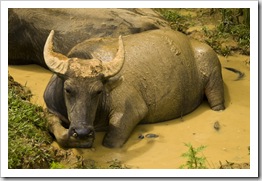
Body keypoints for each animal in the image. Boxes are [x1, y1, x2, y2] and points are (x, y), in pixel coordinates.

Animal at [44, 29, 224, 148]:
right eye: (68, 89)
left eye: (98, 91)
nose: (82, 132)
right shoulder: (52, 109)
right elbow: (56, 128)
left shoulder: (131, 111)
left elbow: (111, 141)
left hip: (214, 78)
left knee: (217, 103)